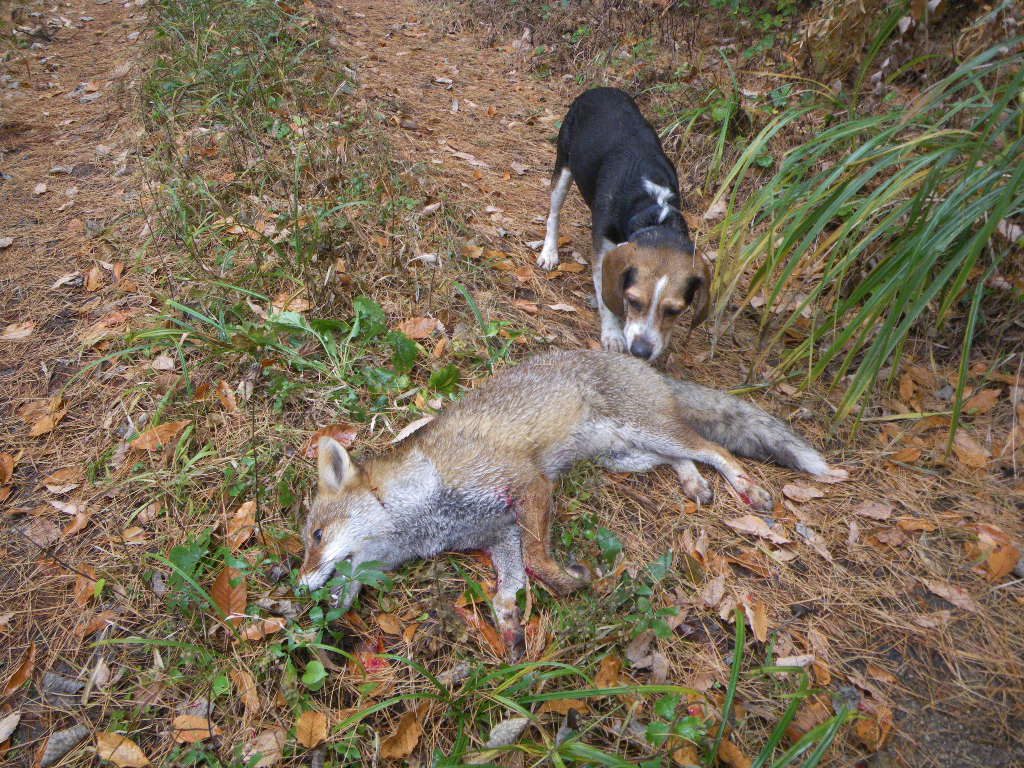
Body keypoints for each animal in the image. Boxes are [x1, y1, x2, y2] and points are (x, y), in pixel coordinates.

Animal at [299, 352, 843, 659]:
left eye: (316, 537)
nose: (299, 586)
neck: (426, 509)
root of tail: (641, 364)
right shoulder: (500, 533)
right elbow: (510, 587)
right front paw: (510, 628)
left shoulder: (528, 486)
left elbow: (541, 564)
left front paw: (573, 581)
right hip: (625, 455)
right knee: (683, 457)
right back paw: (694, 484)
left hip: (644, 433)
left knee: (714, 450)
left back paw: (746, 488)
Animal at [536, 85, 712, 362]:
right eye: (634, 301)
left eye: (674, 311)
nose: (641, 352)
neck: (653, 209)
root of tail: (601, 88)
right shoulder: (604, 251)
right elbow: (606, 298)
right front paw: (613, 334)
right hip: (563, 166)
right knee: (554, 214)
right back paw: (550, 252)